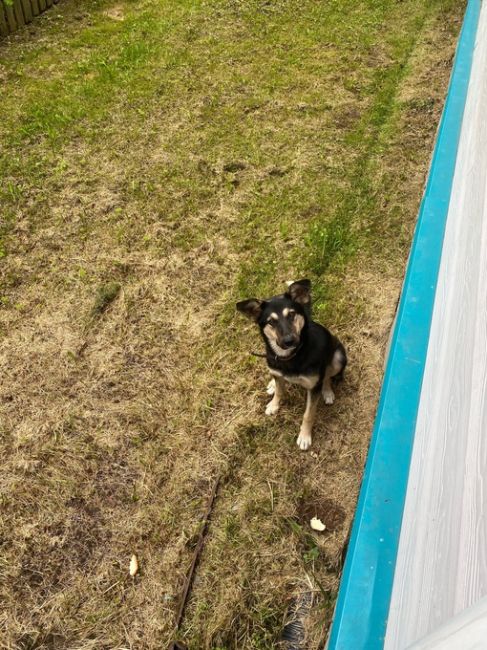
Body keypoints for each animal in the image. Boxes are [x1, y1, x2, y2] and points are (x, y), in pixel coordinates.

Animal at [236, 278, 346, 450]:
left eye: (292, 314)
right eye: (271, 322)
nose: (289, 341)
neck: (291, 357)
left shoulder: (313, 387)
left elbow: (308, 414)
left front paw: (305, 436)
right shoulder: (278, 371)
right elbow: (280, 391)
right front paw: (274, 404)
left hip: (338, 358)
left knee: (327, 375)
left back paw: (327, 391)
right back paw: (272, 385)